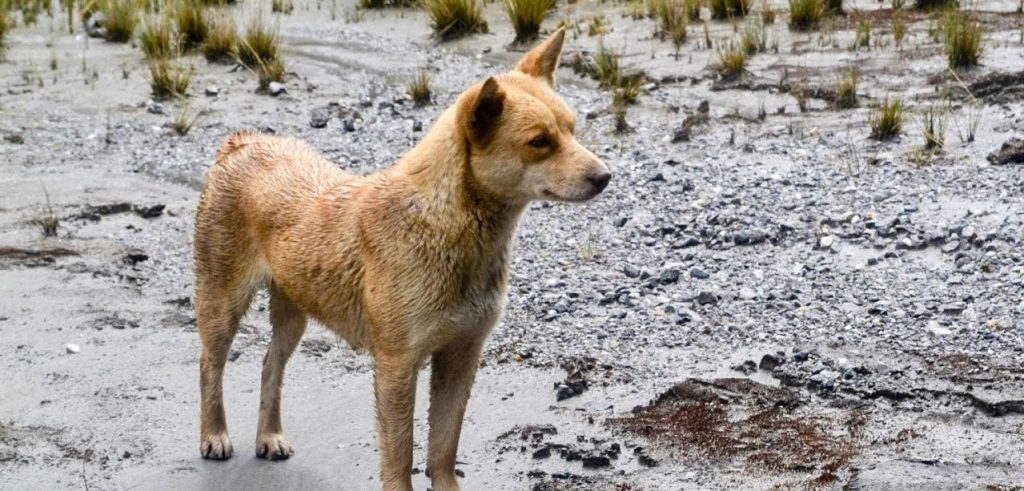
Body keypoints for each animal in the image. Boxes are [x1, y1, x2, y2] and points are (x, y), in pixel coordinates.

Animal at [192, 30, 606, 491]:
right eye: (539, 142)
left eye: (572, 129)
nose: (604, 177)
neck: (447, 225)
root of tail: (242, 141)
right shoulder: (397, 364)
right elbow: (400, 455)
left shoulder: (461, 356)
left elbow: (443, 450)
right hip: (222, 303)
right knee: (209, 366)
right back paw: (214, 435)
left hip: (294, 312)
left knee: (270, 366)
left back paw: (269, 436)